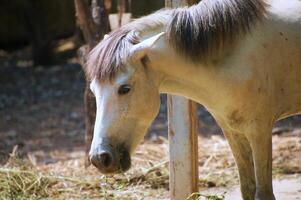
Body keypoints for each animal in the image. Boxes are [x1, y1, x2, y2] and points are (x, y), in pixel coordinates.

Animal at [84, 0, 300, 199]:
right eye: (93, 91)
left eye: (125, 88)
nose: (100, 158)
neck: (234, 57)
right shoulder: (233, 131)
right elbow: (247, 189)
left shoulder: (260, 131)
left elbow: (263, 193)